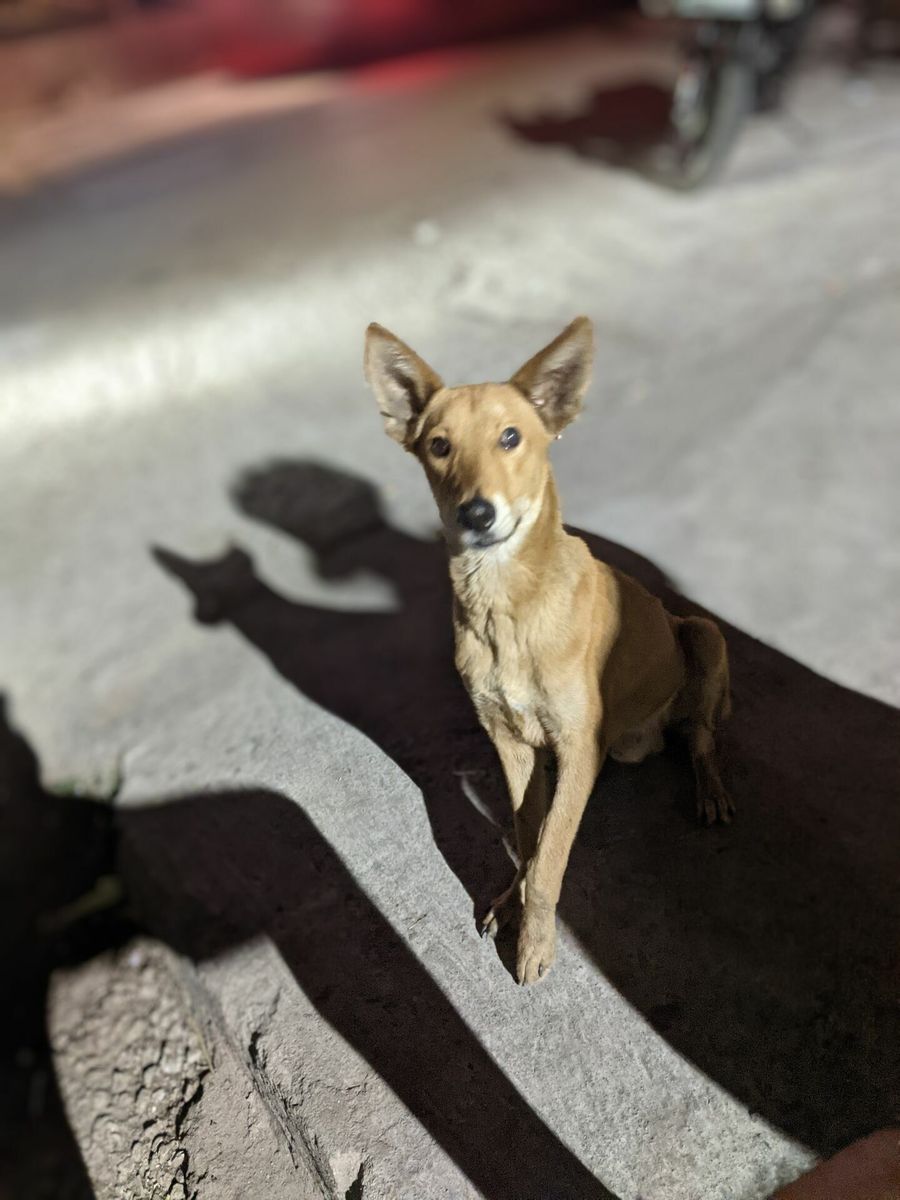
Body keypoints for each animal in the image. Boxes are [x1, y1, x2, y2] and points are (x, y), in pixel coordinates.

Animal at [364, 316, 733, 984]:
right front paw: (511, 898)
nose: (476, 513)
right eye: (439, 446)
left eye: (511, 437)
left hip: (702, 635)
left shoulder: (575, 742)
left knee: (699, 736)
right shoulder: (511, 742)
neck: (506, 607)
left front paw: (534, 942)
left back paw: (710, 788)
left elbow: (549, 857)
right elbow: (527, 832)